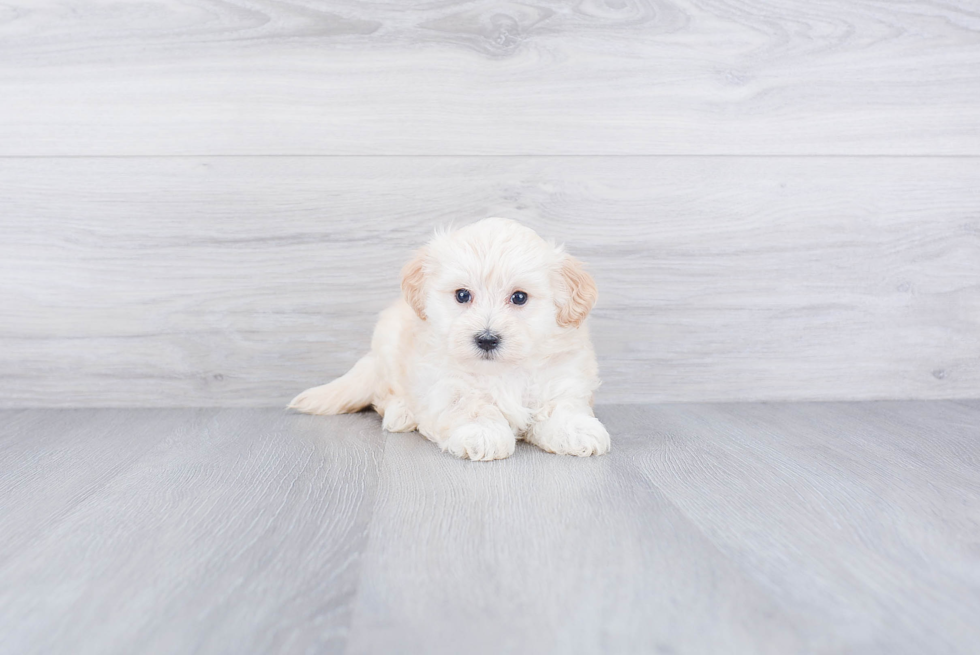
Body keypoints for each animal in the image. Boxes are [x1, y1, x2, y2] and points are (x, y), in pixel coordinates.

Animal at [288, 219, 608, 462]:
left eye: (519, 297)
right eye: (462, 295)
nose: (487, 339)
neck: (501, 370)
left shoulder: (562, 377)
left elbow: (561, 407)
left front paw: (577, 430)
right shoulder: (445, 385)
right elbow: (470, 406)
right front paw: (483, 433)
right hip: (388, 350)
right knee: (385, 394)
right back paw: (402, 413)